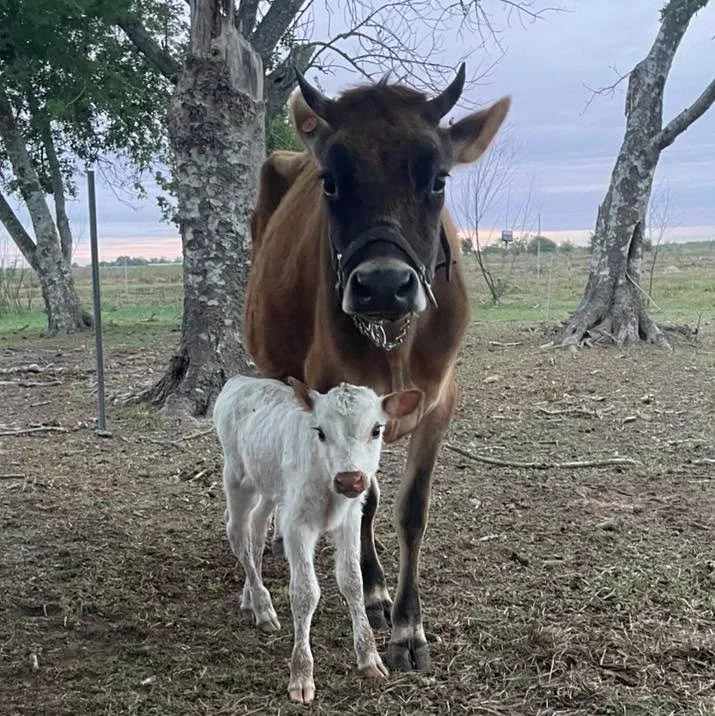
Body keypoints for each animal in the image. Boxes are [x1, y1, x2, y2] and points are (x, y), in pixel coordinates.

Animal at [244, 63, 510, 671]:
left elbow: (411, 508)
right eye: (330, 182)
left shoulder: (439, 403)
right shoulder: (329, 397)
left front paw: (409, 624)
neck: (394, 344)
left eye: (437, 179)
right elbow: (358, 502)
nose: (383, 284)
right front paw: (372, 592)